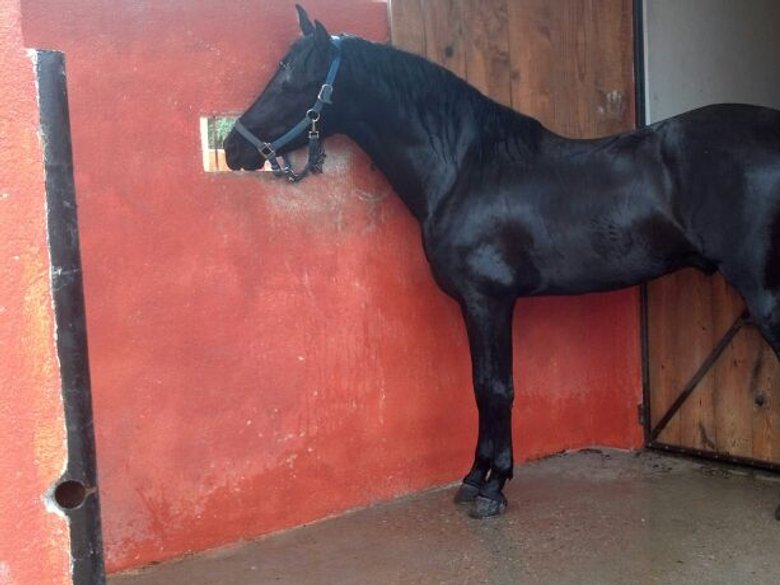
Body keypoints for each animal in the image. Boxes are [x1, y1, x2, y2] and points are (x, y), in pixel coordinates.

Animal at [224, 5, 780, 520]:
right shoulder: (476, 304)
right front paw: (474, 477)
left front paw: (493, 488)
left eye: (291, 79)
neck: (464, 168)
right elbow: (480, 386)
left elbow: (496, 387)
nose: (232, 147)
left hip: (765, 293)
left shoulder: (488, 299)